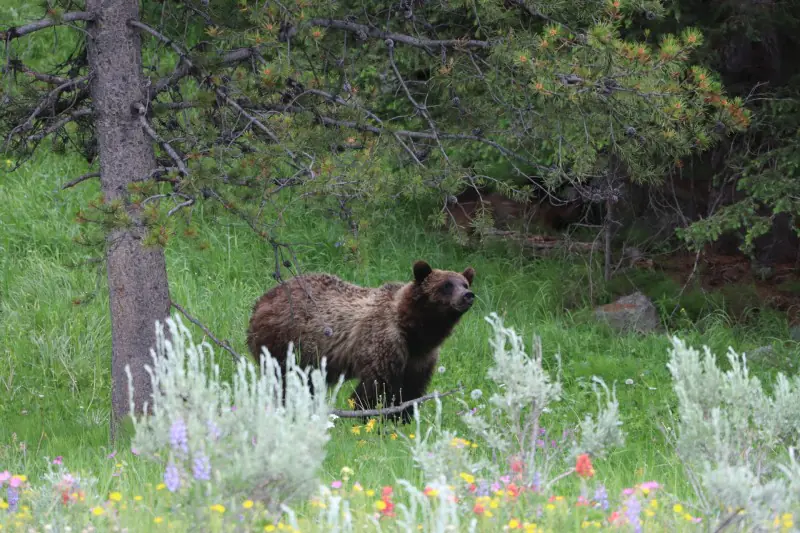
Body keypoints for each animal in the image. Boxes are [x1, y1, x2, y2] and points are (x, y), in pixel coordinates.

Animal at [246, 260, 476, 423]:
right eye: (447, 285)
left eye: (464, 283)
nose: (468, 295)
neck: (413, 330)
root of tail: (261, 301)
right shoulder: (383, 341)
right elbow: (376, 387)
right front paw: (366, 417)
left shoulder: (421, 357)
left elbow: (411, 389)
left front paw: (402, 418)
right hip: (285, 342)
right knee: (284, 380)